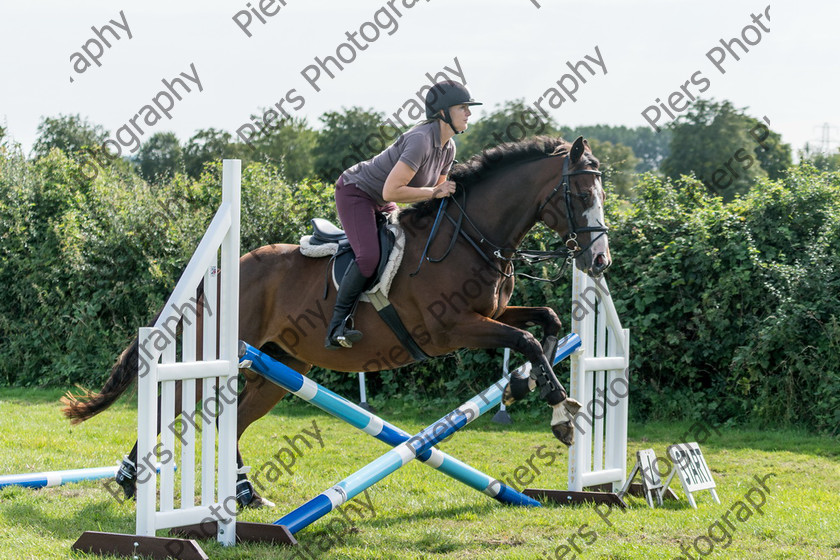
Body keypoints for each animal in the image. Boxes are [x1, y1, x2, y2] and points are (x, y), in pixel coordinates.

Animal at [60, 135, 612, 508]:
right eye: (582, 194)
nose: (600, 261)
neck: (471, 236)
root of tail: (225, 269)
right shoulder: (451, 328)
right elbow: (526, 340)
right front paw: (561, 415)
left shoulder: (491, 313)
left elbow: (546, 323)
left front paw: (525, 387)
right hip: (222, 358)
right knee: (170, 405)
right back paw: (130, 481)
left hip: (277, 368)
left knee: (236, 420)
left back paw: (247, 496)